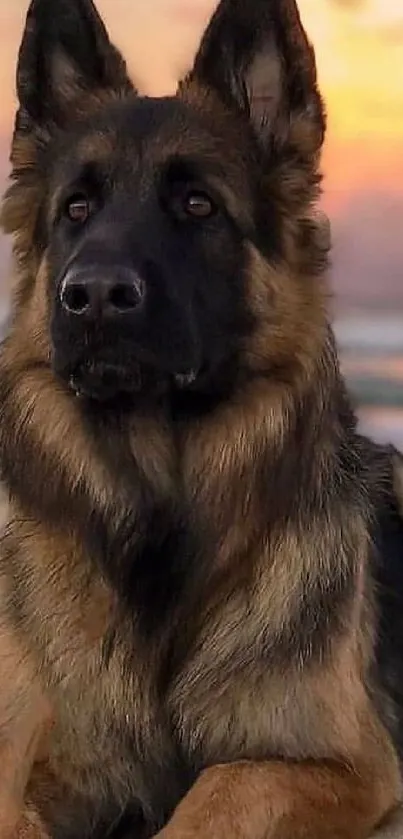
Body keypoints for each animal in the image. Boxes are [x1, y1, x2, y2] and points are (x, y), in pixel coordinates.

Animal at [0, 0, 403, 836]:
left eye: (197, 204)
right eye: (76, 208)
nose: (92, 296)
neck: (160, 522)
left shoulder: (339, 763)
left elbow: (218, 787)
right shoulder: (47, 764)